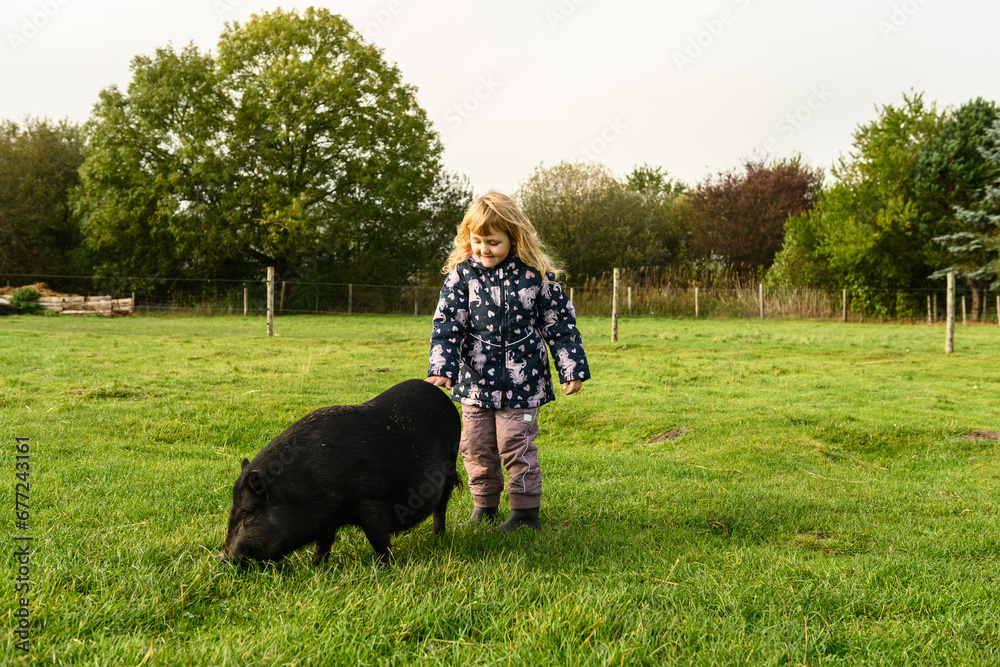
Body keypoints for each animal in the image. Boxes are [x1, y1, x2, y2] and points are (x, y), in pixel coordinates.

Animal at [220, 379, 461, 566]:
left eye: (248, 515)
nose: (222, 556)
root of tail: (442, 397)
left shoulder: (371, 500)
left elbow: (378, 539)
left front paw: (387, 566)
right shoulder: (327, 518)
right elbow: (324, 543)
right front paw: (316, 567)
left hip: (451, 464)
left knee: (441, 506)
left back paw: (439, 537)